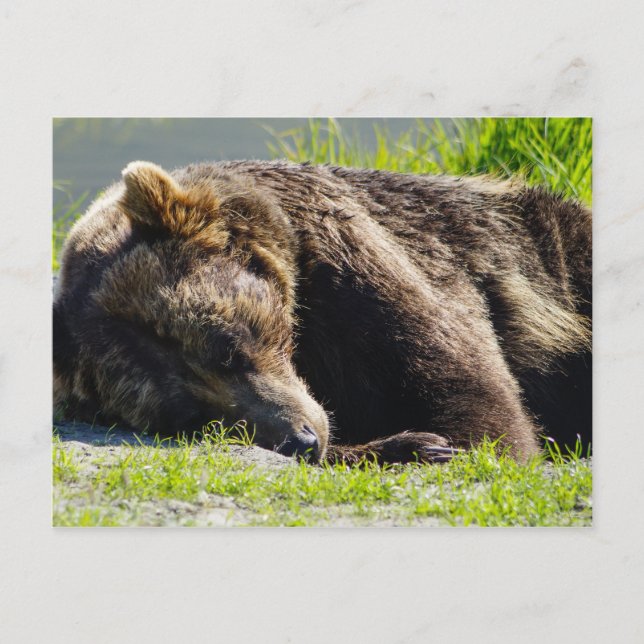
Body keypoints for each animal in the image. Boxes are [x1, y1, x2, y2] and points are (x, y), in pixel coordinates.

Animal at [53, 160, 592, 464]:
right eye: (191, 416)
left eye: (228, 346)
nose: (302, 439)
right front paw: (408, 443)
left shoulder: (363, 262)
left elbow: (484, 415)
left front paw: (429, 442)